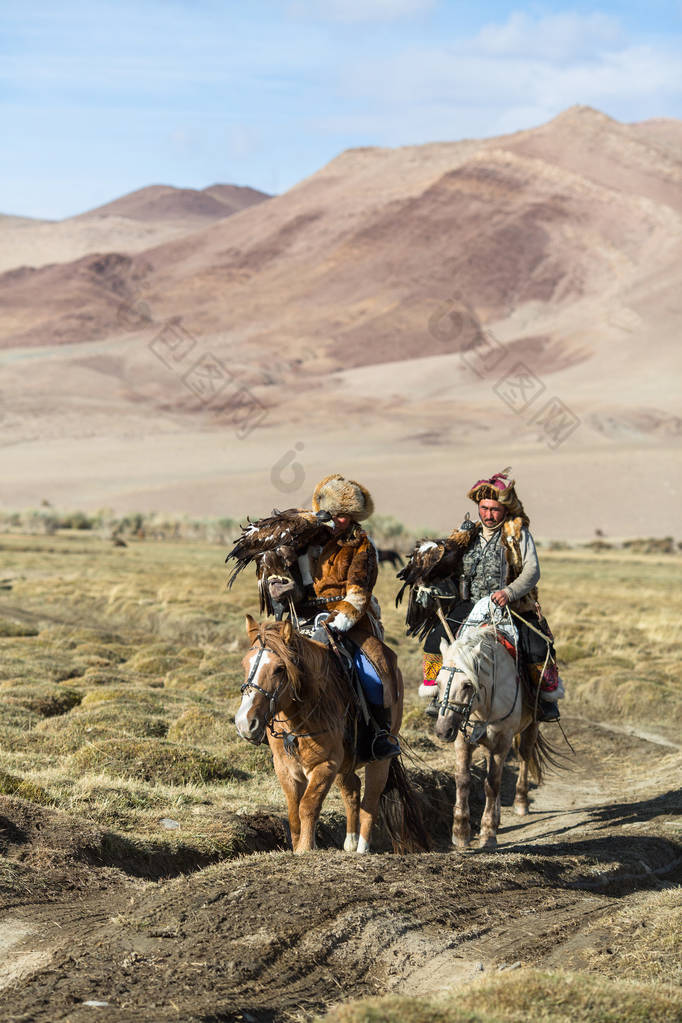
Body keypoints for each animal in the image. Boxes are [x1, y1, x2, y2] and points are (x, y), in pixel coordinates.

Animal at [237, 617, 423, 851]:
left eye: (279, 668)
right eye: (245, 664)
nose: (245, 723)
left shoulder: (325, 765)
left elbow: (307, 806)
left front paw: (305, 849)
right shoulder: (284, 768)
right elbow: (293, 812)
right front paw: (298, 846)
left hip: (380, 760)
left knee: (371, 800)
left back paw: (362, 848)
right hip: (345, 764)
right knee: (352, 789)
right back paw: (350, 842)